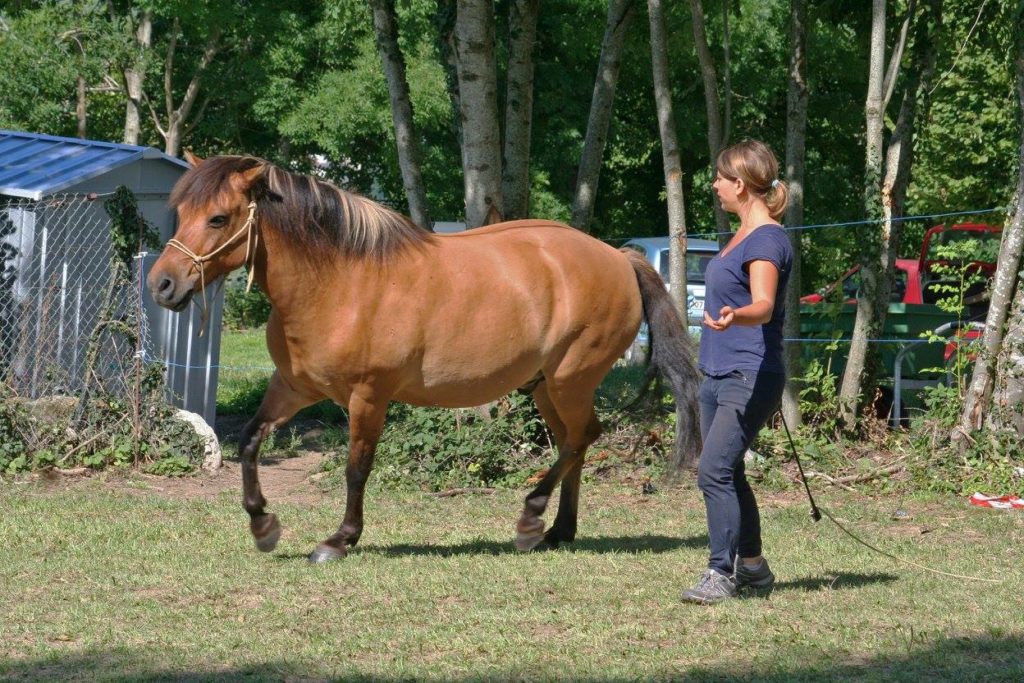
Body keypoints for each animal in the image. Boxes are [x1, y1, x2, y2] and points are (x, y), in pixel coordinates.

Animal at [148, 157, 700, 565]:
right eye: (182, 212)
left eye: (218, 218)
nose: (162, 285)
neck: (338, 282)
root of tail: (618, 257)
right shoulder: (295, 388)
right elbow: (249, 441)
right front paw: (264, 525)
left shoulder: (368, 396)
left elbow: (356, 467)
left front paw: (339, 539)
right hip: (547, 386)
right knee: (575, 442)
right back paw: (557, 530)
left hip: (571, 379)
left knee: (582, 438)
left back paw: (531, 517)